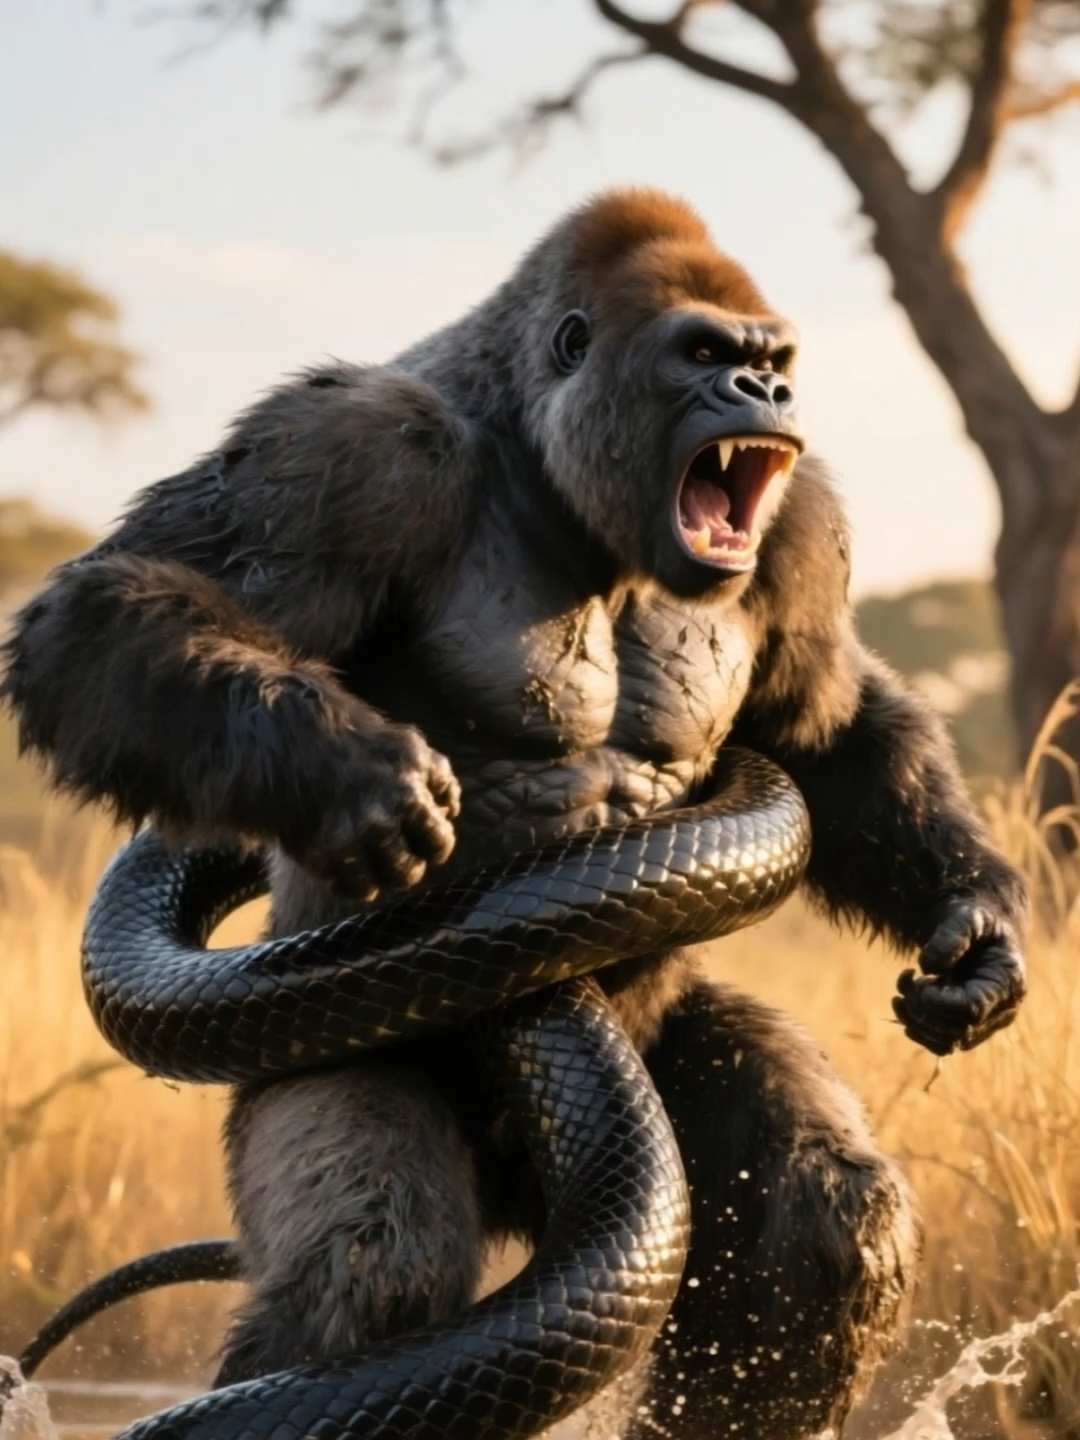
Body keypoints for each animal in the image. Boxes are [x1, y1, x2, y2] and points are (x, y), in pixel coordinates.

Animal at [1, 188, 1027, 1440]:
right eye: (704, 355)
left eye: (770, 361)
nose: (764, 391)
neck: (559, 489)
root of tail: (516, 1216)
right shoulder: (352, 448)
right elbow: (99, 609)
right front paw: (352, 772)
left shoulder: (802, 525)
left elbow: (823, 731)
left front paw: (976, 934)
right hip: (315, 1079)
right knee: (376, 1262)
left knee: (826, 1223)